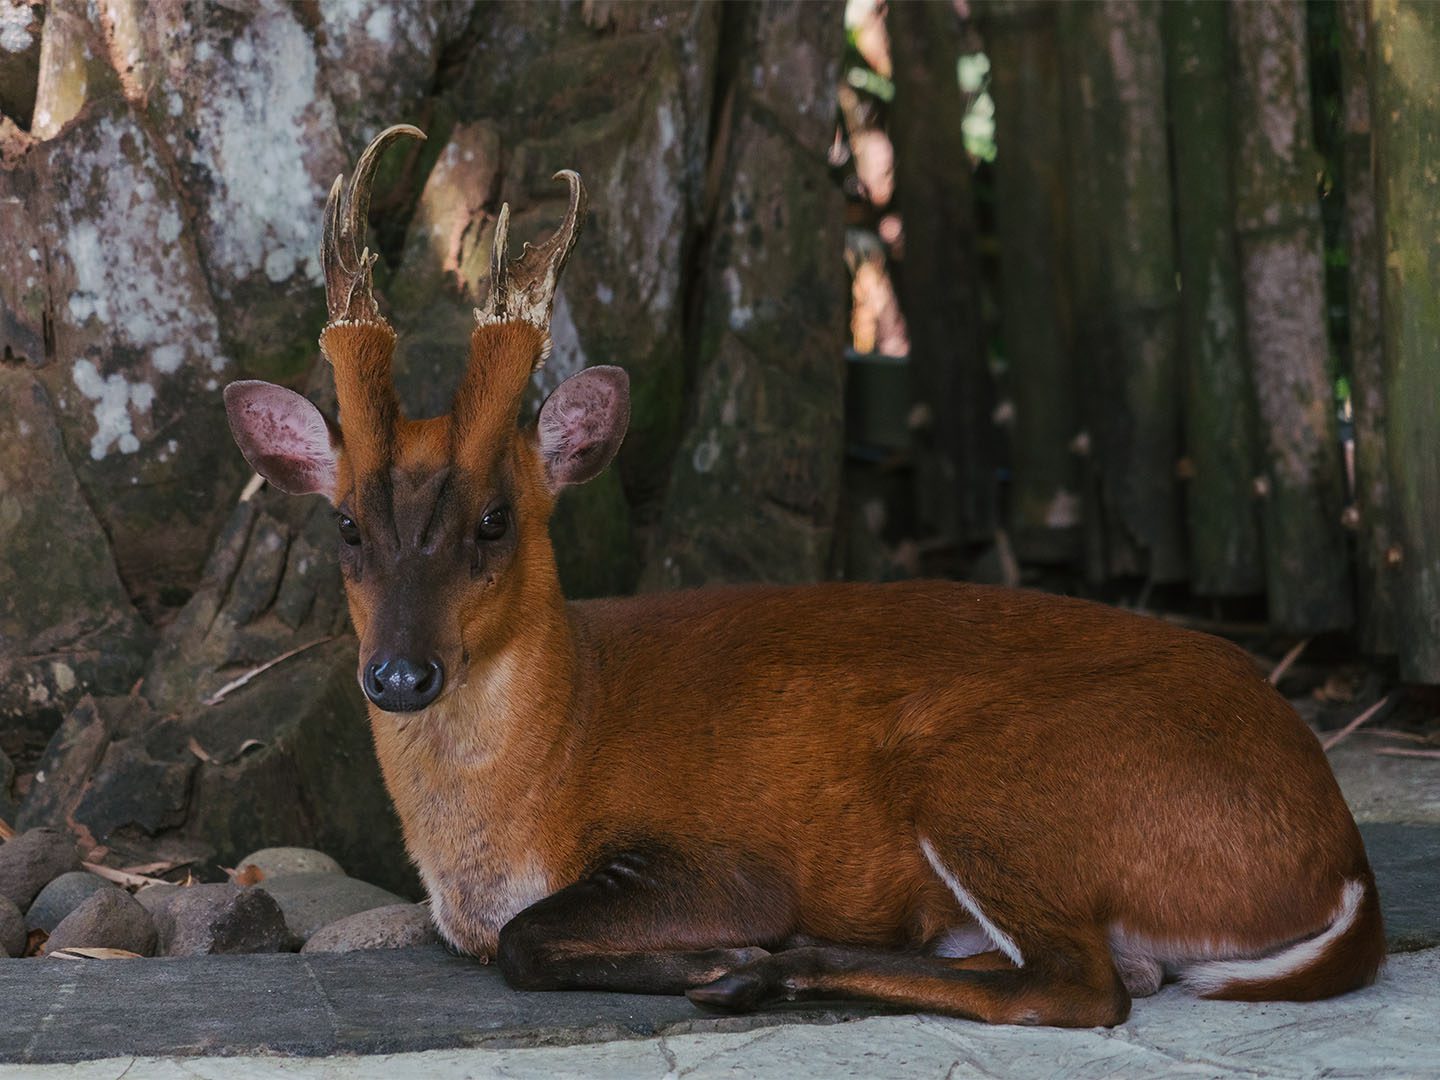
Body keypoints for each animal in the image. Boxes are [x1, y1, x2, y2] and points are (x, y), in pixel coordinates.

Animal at [221, 128, 1382, 1031]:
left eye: (495, 520)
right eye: (346, 526)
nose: (400, 676)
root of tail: (1344, 860)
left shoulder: (719, 857)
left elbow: (524, 944)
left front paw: (721, 957)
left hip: (996, 779)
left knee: (1075, 984)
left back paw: (766, 971)